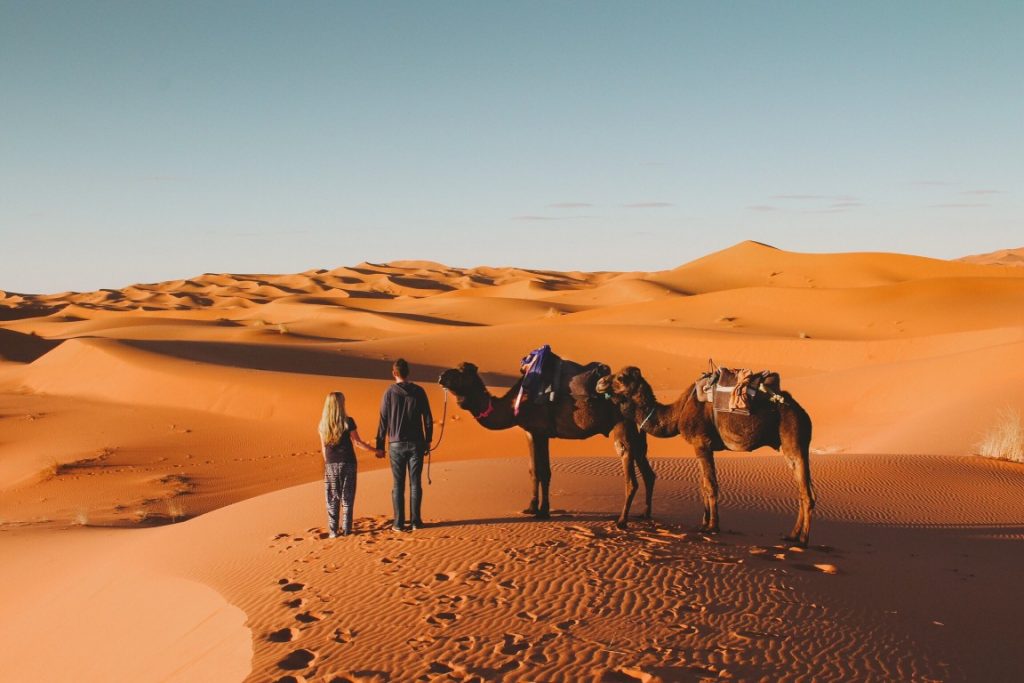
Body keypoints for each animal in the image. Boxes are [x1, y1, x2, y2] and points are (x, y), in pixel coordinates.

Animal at [436, 362, 651, 528]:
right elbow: (534, 470)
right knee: (649, 473)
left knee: (631, 477)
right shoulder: (530, 432)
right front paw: (531, 507)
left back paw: (622, 521)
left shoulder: (541, 432)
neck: (514, 403)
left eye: (461, 373)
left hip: (623, 427)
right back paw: (645, 514)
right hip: (638, 433)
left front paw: (543, 511)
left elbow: (545, 471)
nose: (441, 376)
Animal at [593, 366, 815, 548]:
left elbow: (710, 485)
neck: (678, 412)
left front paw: (712, 526)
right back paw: (792, 535)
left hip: (793, 440)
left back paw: (803, 539)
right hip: (790, 446)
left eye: (621, 378)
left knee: (807, 493)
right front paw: (704, 522)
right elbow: (702, 484)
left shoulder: (701, 443)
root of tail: (804, 414)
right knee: (802, 490)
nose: (600, 382)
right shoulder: (702, 447)